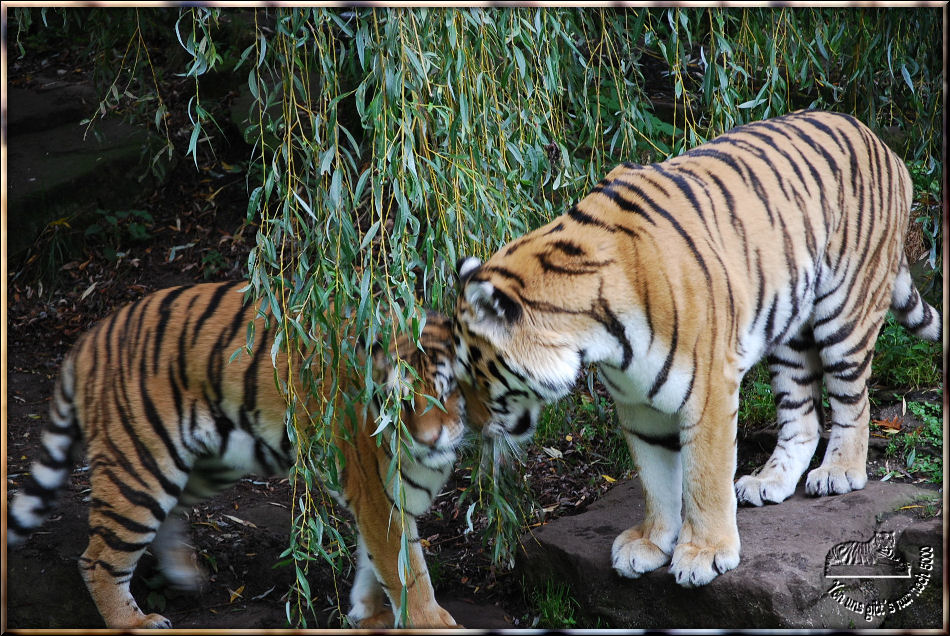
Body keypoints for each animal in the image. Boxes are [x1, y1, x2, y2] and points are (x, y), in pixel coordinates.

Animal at [7, 280, 468, 628]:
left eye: (448, 390)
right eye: (403, 400)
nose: (430, 441)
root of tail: (89, 338)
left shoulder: (385, 502)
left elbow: (376, 563)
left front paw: (367, 614)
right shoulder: (378, 496)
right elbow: (405, 570)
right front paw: (430, 623)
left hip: (208, 462)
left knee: (168, 515)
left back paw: (185, 575)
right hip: (139, 466)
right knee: (98, 559)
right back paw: (135, 622)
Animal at [454, 108, 944, 588]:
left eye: (480, 374)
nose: (470, 430)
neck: (601, 339)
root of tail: (881, 142)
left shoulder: (709, 391)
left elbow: (703, 477)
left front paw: (704, 554)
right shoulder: (637, 403)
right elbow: (654, 478)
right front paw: (651, 542)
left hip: (845, 311)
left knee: (853, 401)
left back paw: (840, 472)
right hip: (789, 331)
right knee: (801, 416)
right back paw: (769, 481)